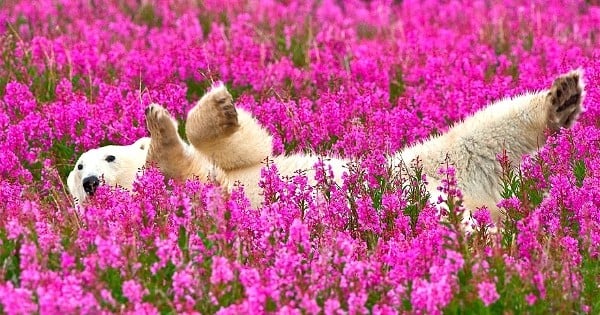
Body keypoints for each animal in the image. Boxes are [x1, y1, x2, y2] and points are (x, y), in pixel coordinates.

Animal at [68, 69, 584, 222]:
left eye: (106, 155)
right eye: (77, 169)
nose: (90, 181)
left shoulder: (240, 166)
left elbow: (250, 147)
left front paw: (207, 109)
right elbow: (191, 173)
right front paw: (162, 135)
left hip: (418, 165)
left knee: (479, 135)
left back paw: (562, 97)